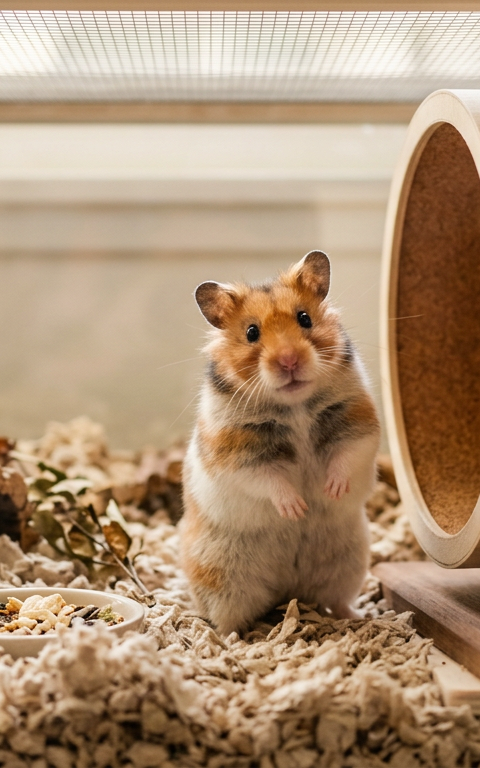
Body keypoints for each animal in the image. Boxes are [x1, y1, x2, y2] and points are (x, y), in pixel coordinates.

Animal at [180, 250, 380, 636]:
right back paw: (232, 639)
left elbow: (345, 458)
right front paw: (297, 509)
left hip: (348, 562)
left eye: (304, 318)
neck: (295, 406)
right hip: (223, 578)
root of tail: (288, 588)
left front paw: (331, 491)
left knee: (335, 600)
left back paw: (356, 617)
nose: (289, 361)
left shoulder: (357, 423)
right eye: (251, 332)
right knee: (228, 619)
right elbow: (269, 480)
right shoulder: (237, 453)